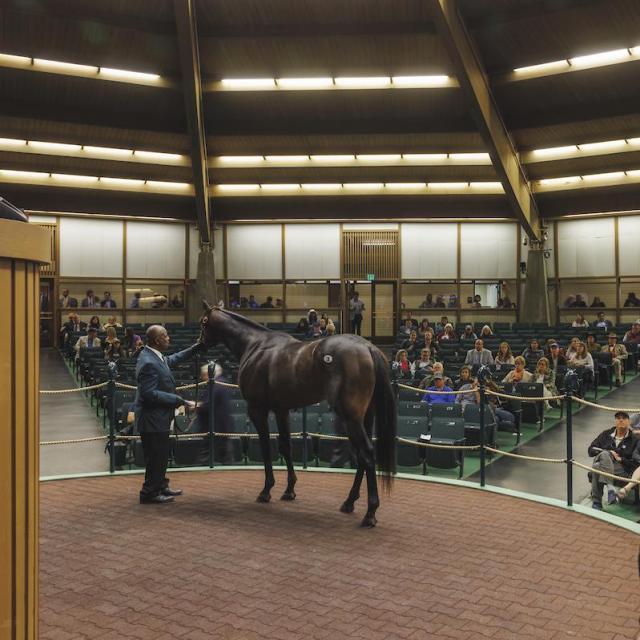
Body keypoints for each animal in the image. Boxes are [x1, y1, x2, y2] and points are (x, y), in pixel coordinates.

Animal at [199, 304, 396, 527]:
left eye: (203, 322)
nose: (200, 344)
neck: (256, 345)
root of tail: (368, 348)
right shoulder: (281, 410)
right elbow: (286, 446)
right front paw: (289, 490)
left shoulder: (257, 410)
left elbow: (266, 447)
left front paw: (266, 490)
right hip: (364, 417)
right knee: (362, 457)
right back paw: (349, 502)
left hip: (350, 418)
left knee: (367, 453)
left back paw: (370, 513)